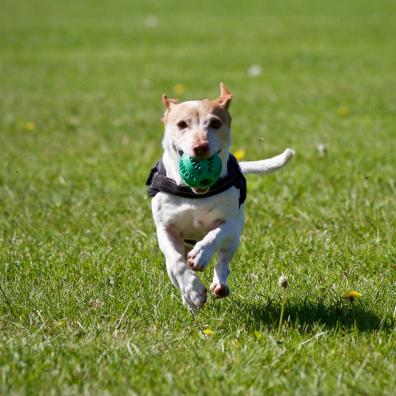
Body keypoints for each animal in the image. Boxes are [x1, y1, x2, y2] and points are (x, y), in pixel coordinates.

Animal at [146, 84, 294, 312]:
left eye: (215, 123)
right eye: (182, 124)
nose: (200, 146)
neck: (195, 194)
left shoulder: (231, 224)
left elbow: (215, 235)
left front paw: (200, 254)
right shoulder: (165, 229)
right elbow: (177, 263)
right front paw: (193, 291)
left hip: (234, 240)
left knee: (223, 260)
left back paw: (219, 283)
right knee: (175, 269)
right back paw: (189, 301)